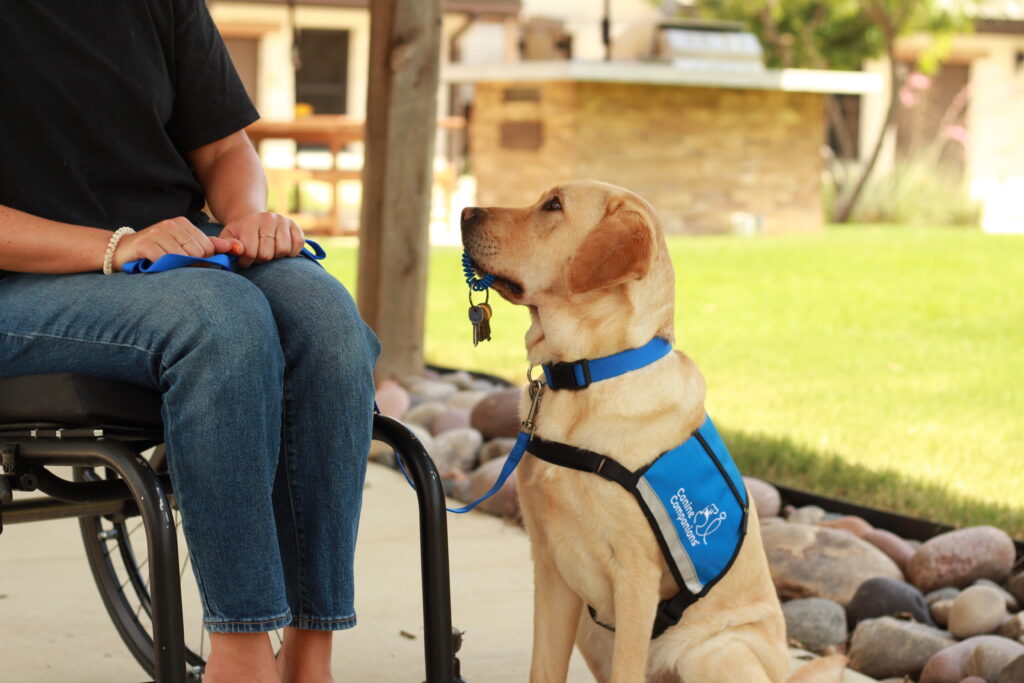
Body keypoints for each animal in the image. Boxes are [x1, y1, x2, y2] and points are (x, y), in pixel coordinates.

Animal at [460, 181, 835, 683]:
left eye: (554, 206)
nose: (465, 212)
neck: (588, 377)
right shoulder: (550, 563)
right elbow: (544, 668)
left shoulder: (635, 576)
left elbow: (626, 671)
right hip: (591, 629)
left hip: (710, 652)